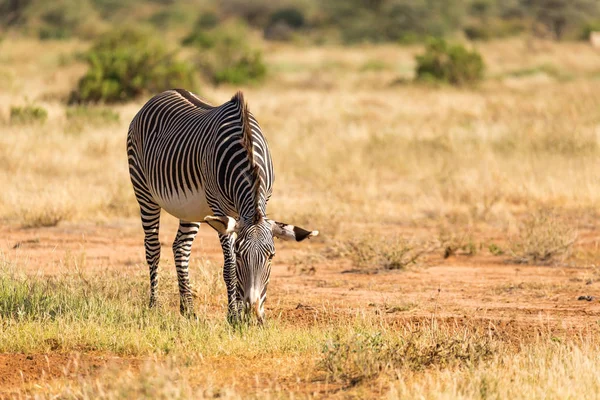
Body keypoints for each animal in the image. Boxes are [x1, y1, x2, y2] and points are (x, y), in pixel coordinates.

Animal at [127, 88, 318, 322]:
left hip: (190, 208)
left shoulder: (262, 201)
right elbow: (230, 268)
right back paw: (154, 305)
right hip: (144, 191)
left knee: (180, 247)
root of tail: (161, 94)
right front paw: (234, 316)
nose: (254, 313)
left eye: (271, 256)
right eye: (239, 254)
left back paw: (188, 309)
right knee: (153, 248)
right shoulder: (221, 209)